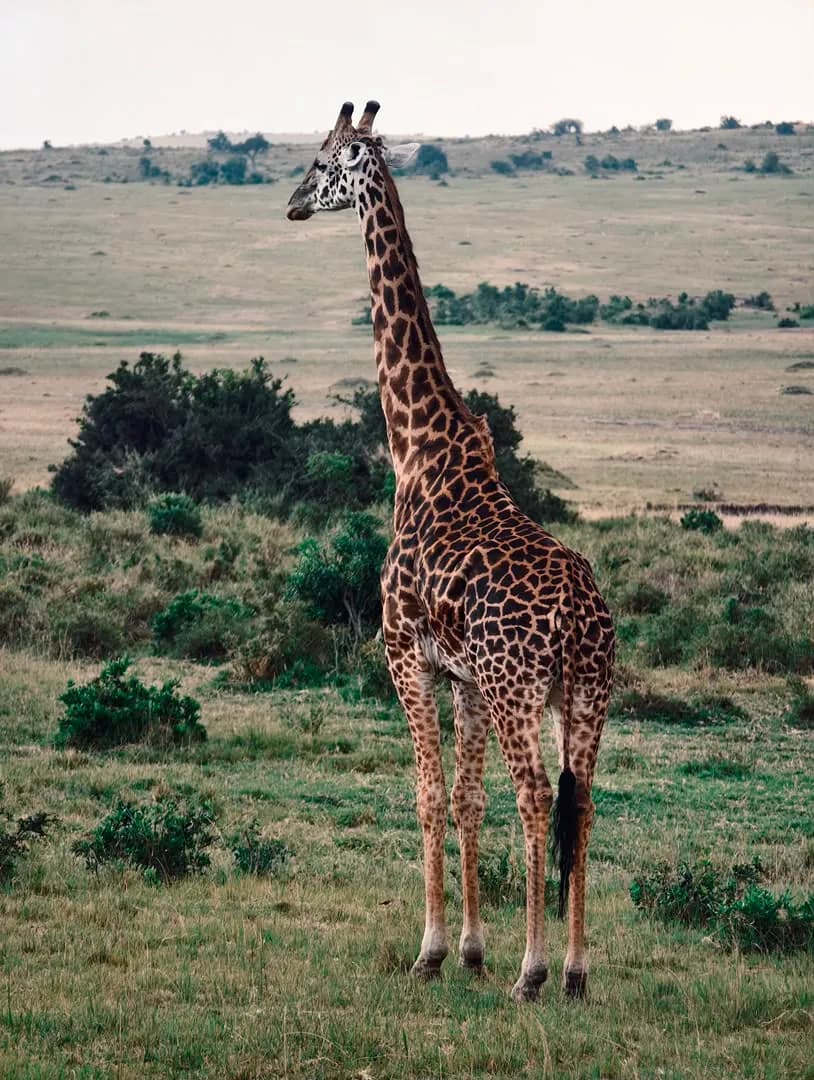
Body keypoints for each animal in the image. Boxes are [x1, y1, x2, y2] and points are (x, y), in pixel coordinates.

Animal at [287, 101, 615, 1001]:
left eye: (323, 159)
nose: (290, 204)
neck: (416, 451)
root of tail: (582, 616)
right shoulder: (461, 675)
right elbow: (467, 801)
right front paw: (470, 948)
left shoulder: (404, 652)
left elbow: (430, 795)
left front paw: (431, 950)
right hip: (588, 693)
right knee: (584, 802)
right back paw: (575, 971)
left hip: (519, 688)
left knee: (537, 797)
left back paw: (533, 973)